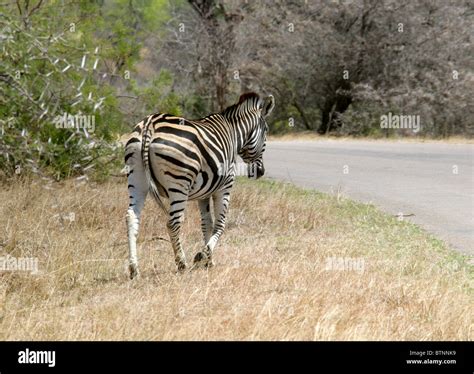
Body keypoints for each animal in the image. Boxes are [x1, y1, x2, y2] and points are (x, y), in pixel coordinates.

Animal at [124, 92, 276, 280]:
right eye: (266, 130)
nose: (260, 172)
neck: (233, 133)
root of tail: (150, 123)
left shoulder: (204, 193)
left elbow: (206, 223)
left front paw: (209, 260)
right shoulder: (225, 187)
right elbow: (220, 223)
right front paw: (203, 255)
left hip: (136, 178)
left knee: (132, 217)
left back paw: (134, 269)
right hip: (179, 183)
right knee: (173, 223)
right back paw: (181, 263)